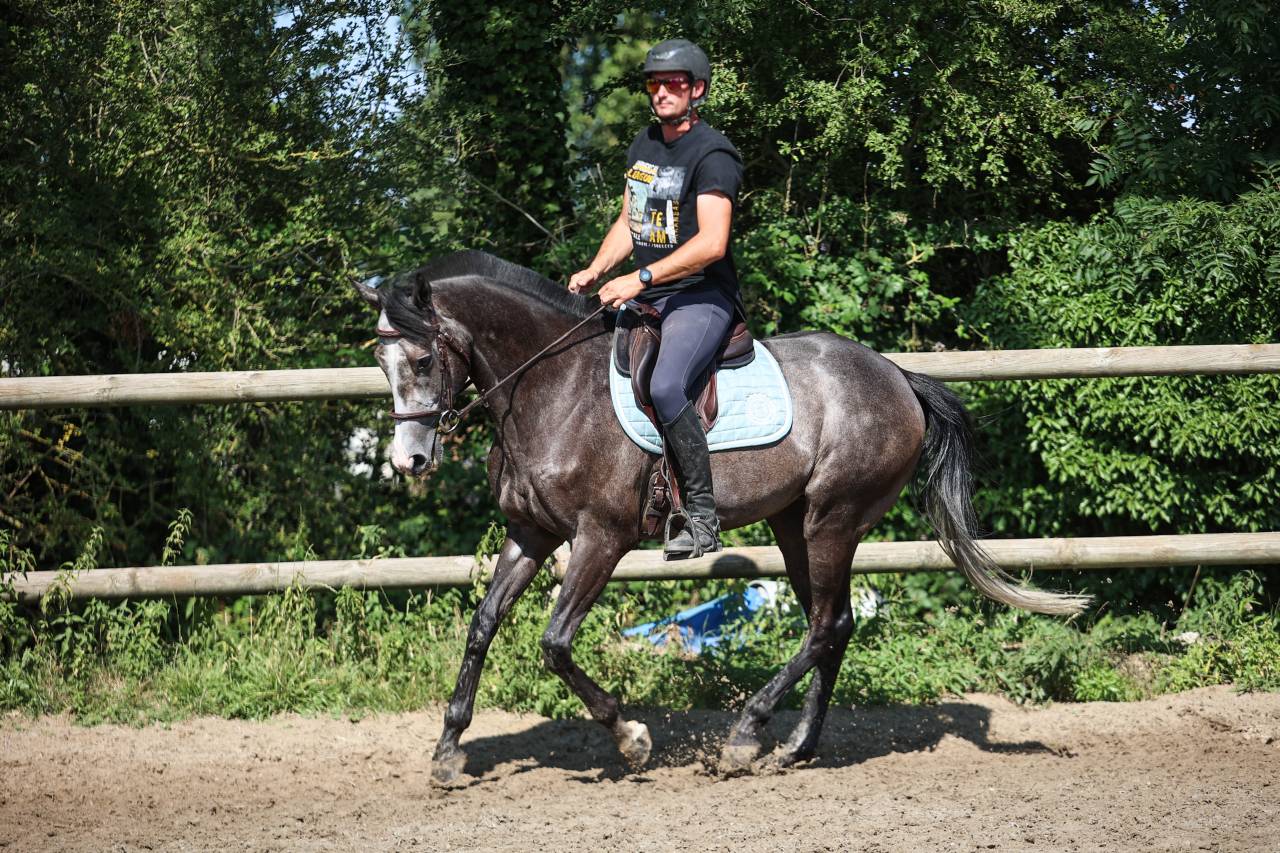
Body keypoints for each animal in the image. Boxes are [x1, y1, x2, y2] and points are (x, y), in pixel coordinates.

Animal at [353, 250, 1088, 784]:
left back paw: (745, 737)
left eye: (423, 357)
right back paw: (794, 747)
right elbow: (482, 625)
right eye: (380, 361)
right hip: (795, 523)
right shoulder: (531, 534)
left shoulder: (600, 539)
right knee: (835, 625)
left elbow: (555, 643)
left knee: (824, 626)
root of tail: (898, 378)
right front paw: (449, 750)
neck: (550, 388)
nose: (411, 459)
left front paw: (631, 738)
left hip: (831, 519)